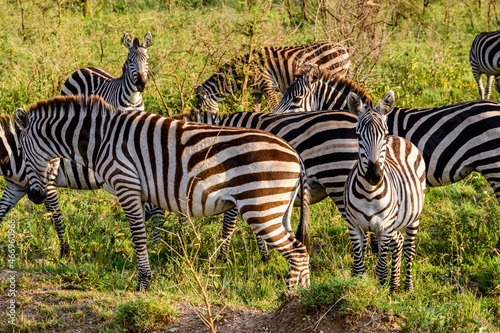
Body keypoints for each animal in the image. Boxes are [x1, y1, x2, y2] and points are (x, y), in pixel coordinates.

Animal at [0, 113, 164, 255]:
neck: (14, 156)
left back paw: (154, 248)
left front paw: (65, 252)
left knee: (158, 213)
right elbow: (1, 211)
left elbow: (57, 218)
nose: (34, 198)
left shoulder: (48, 185)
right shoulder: (15, 187)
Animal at [195, 40, 352, 111]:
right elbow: (256, 110)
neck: (246, 69)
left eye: (201, 110)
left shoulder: (267, 85)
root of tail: (344, 49)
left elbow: (273, 106)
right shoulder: (256, 92)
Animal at [344, 91, 426, 290]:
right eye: (358, 136)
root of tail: (398, 138)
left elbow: (381, 269)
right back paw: (395, 284)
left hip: (414, 216)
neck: (369, 194)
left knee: (409, 249)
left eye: (383, 134)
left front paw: (382, 291)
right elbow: (358, 269)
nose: (374, 176)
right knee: (399, 241)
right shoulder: (354, 226)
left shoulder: (385, 228)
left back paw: (408, 287)